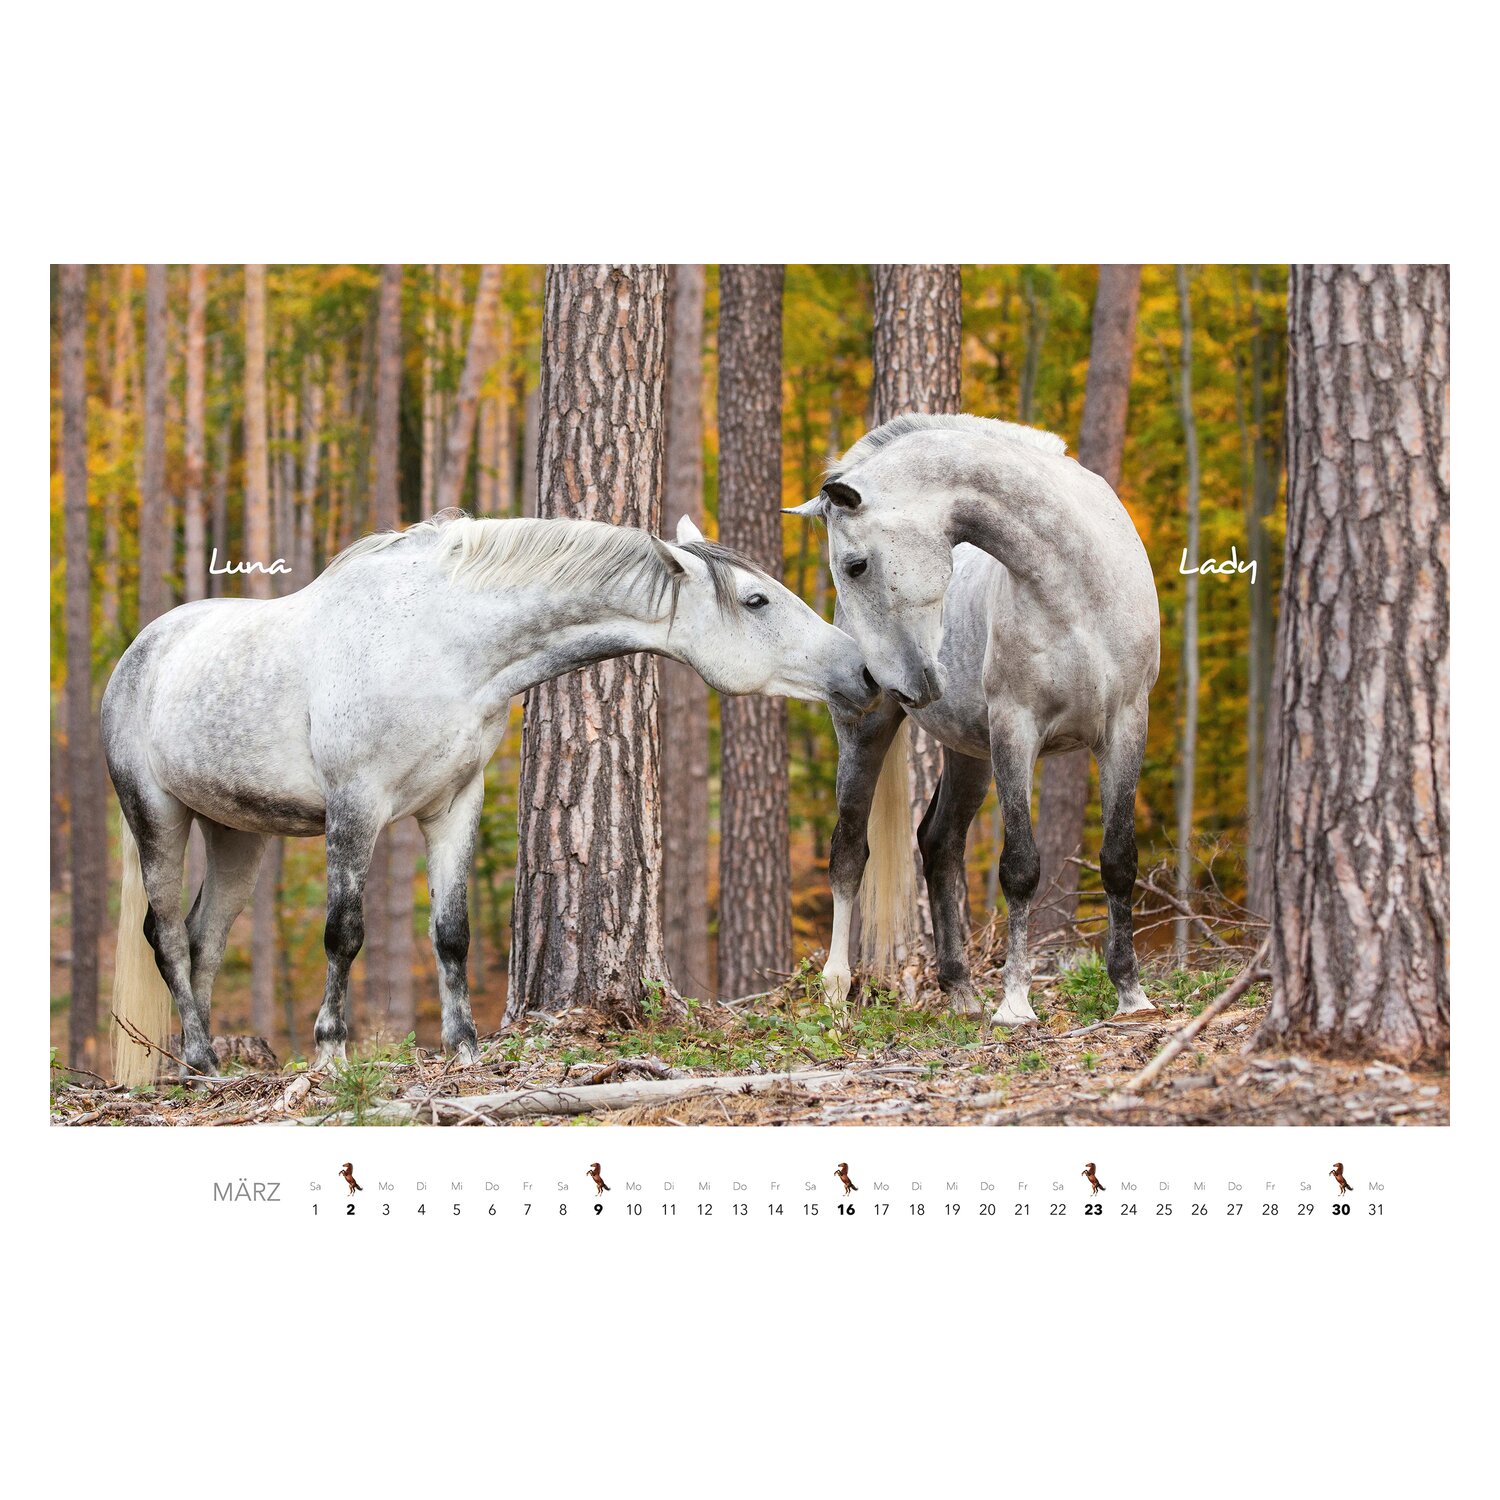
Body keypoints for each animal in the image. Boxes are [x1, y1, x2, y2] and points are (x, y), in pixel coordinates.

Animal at [103, 509, 878, 1085]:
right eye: (756, 600)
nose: (863, 672)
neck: (438, 642)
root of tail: (139, 651)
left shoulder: (453, 804)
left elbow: (452, 931)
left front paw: (466, 1048)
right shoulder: (356, 808)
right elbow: (344, 932)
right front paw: (331, 1052)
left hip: (239, 834)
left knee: (203, 939)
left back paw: (204, 1067)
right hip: (158, 818)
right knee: (166, 935)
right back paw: (200, 1059)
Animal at [786, 413, 1161, 1027]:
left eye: (856, 565)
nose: (876, 676)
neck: (1075, 585)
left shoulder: (1126, 728)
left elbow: (1119, 860)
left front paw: (1130, 994)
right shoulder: (1016, 731)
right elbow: (1021, 867)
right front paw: (1015, 1003)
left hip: (969, 756)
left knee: (939, 844)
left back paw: (959, 987)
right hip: (866, 735)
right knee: (848, 851)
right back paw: (837, 987)